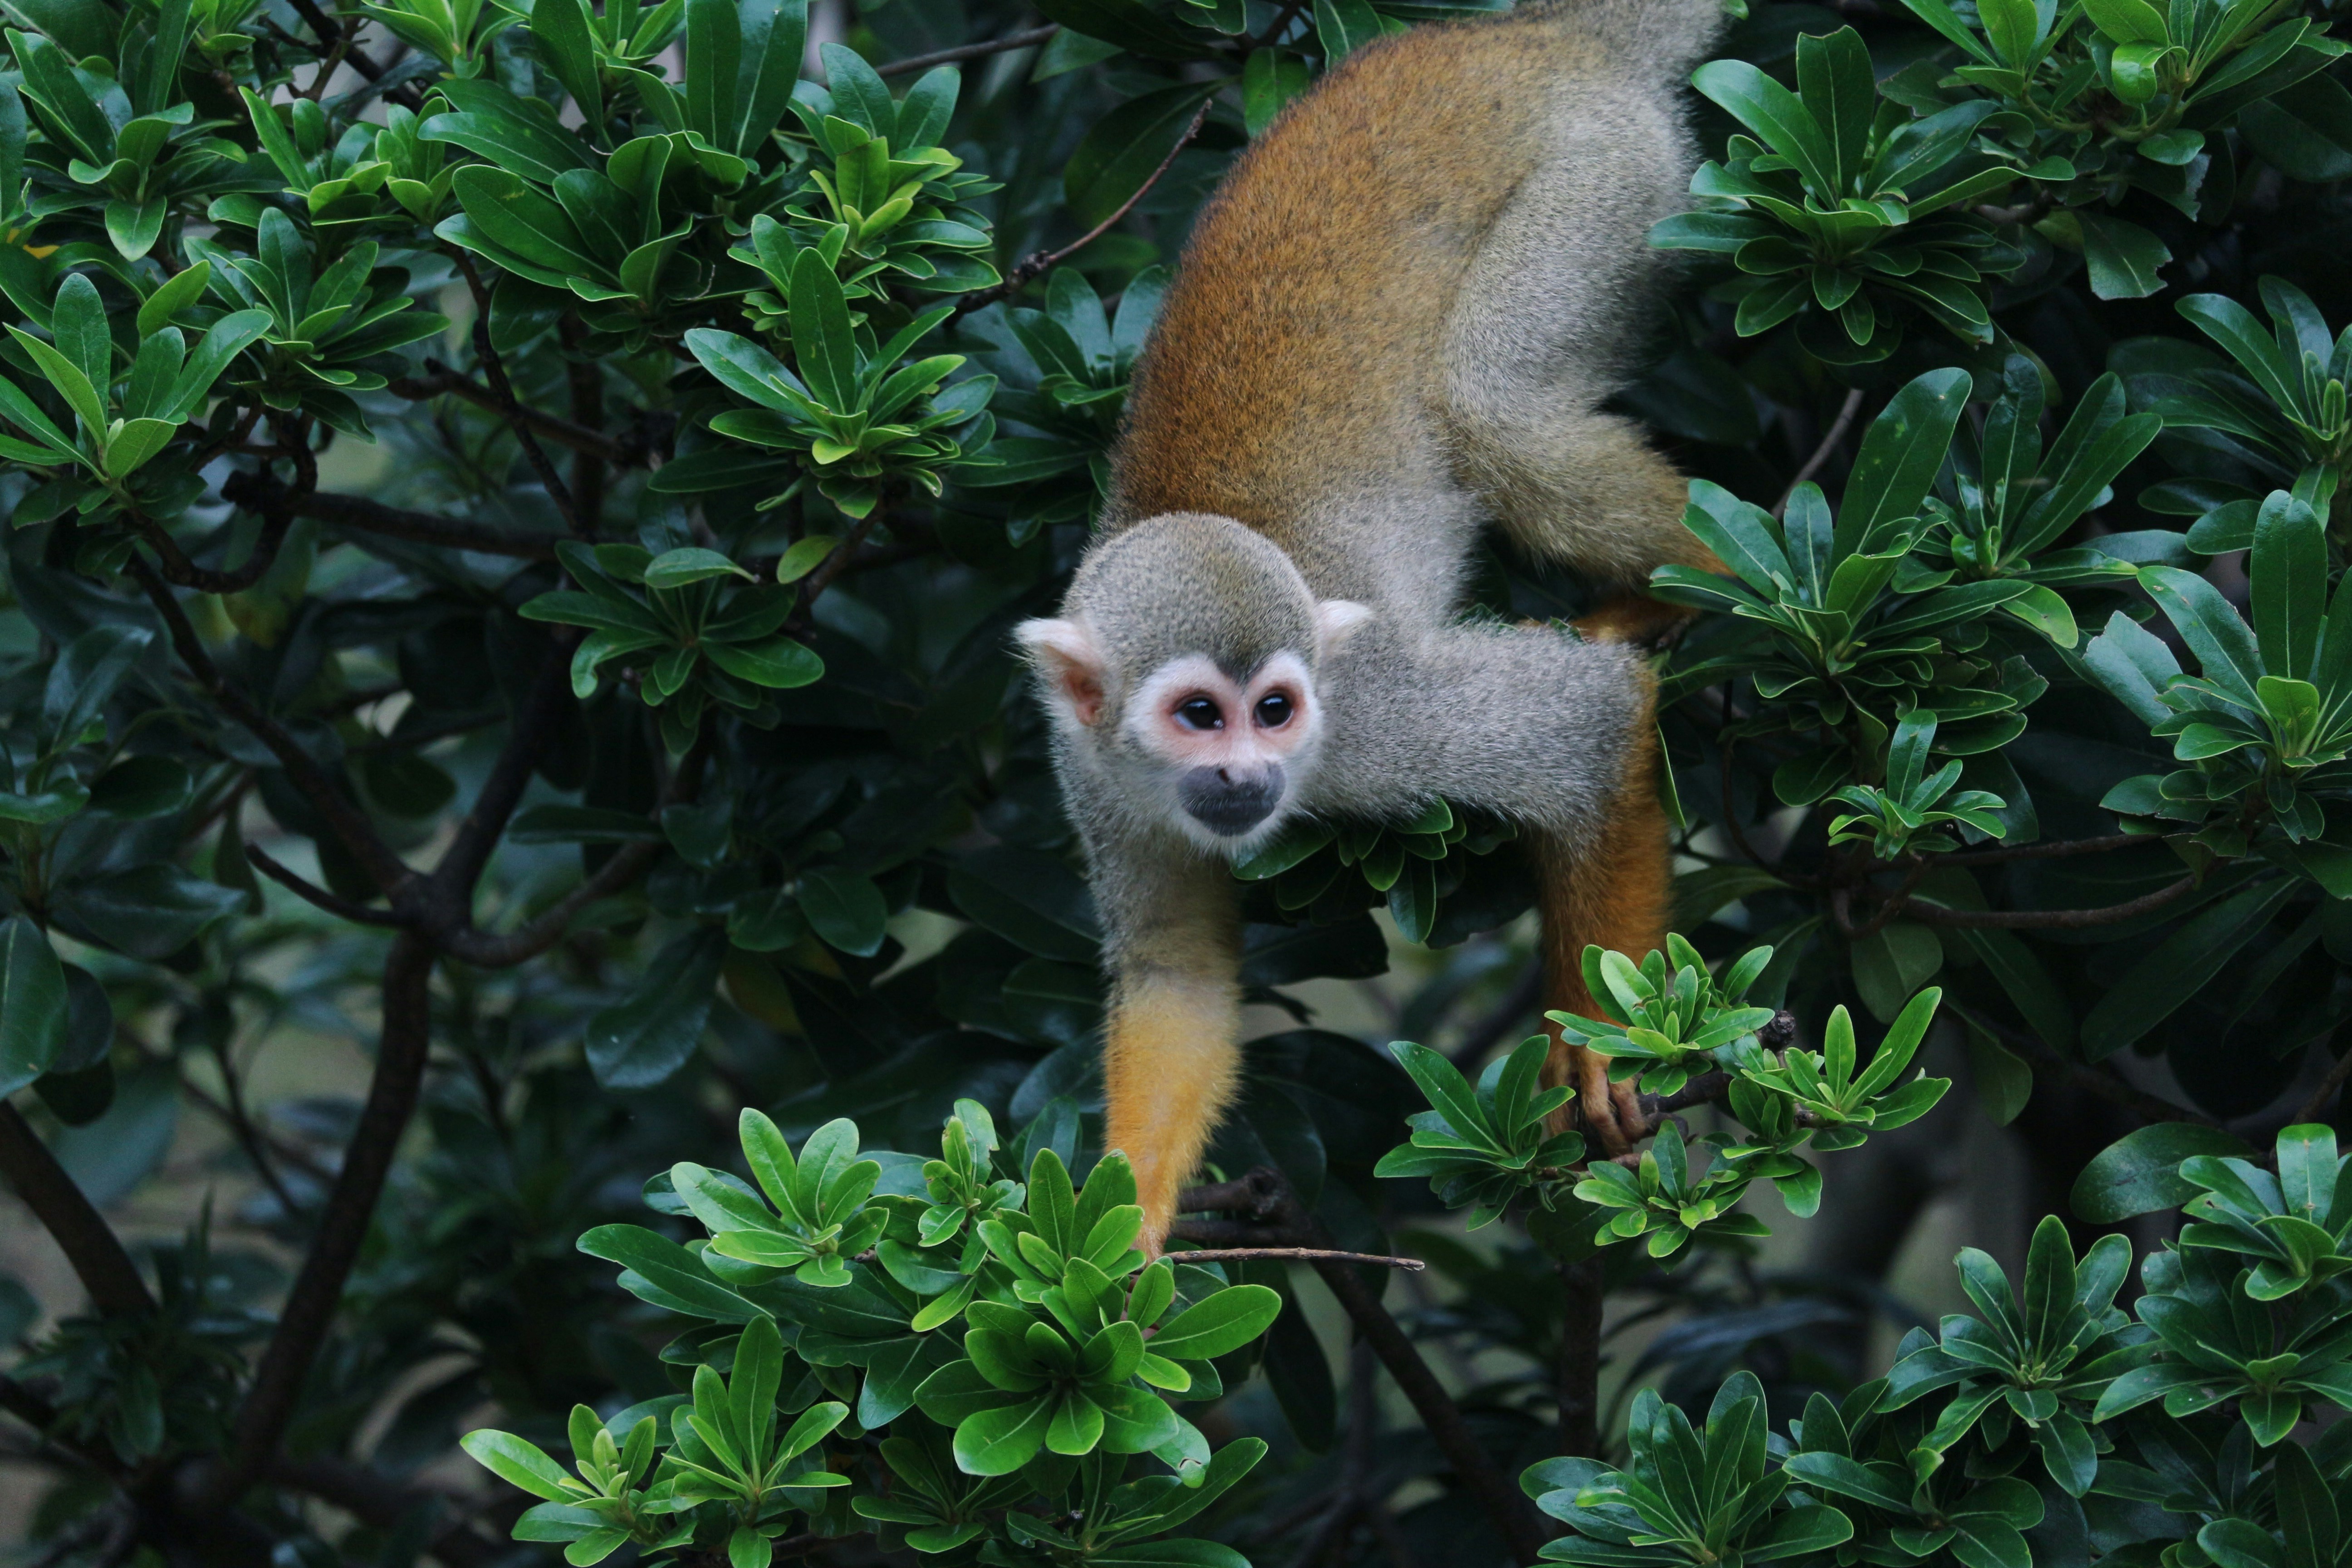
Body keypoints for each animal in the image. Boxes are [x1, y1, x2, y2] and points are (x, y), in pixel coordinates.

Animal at [1013, 0, 1728, 1250]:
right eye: (1196, 715)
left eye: (1276, 708)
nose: (1244, 777)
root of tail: (1528, 34)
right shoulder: (1091, 770)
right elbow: (1177, 974)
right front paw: (1119, 1225)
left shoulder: (1372, 718)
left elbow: (1589, 726)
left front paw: (1602, 1047)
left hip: (1600, 183)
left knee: (1491, 405)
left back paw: (1715, 577)